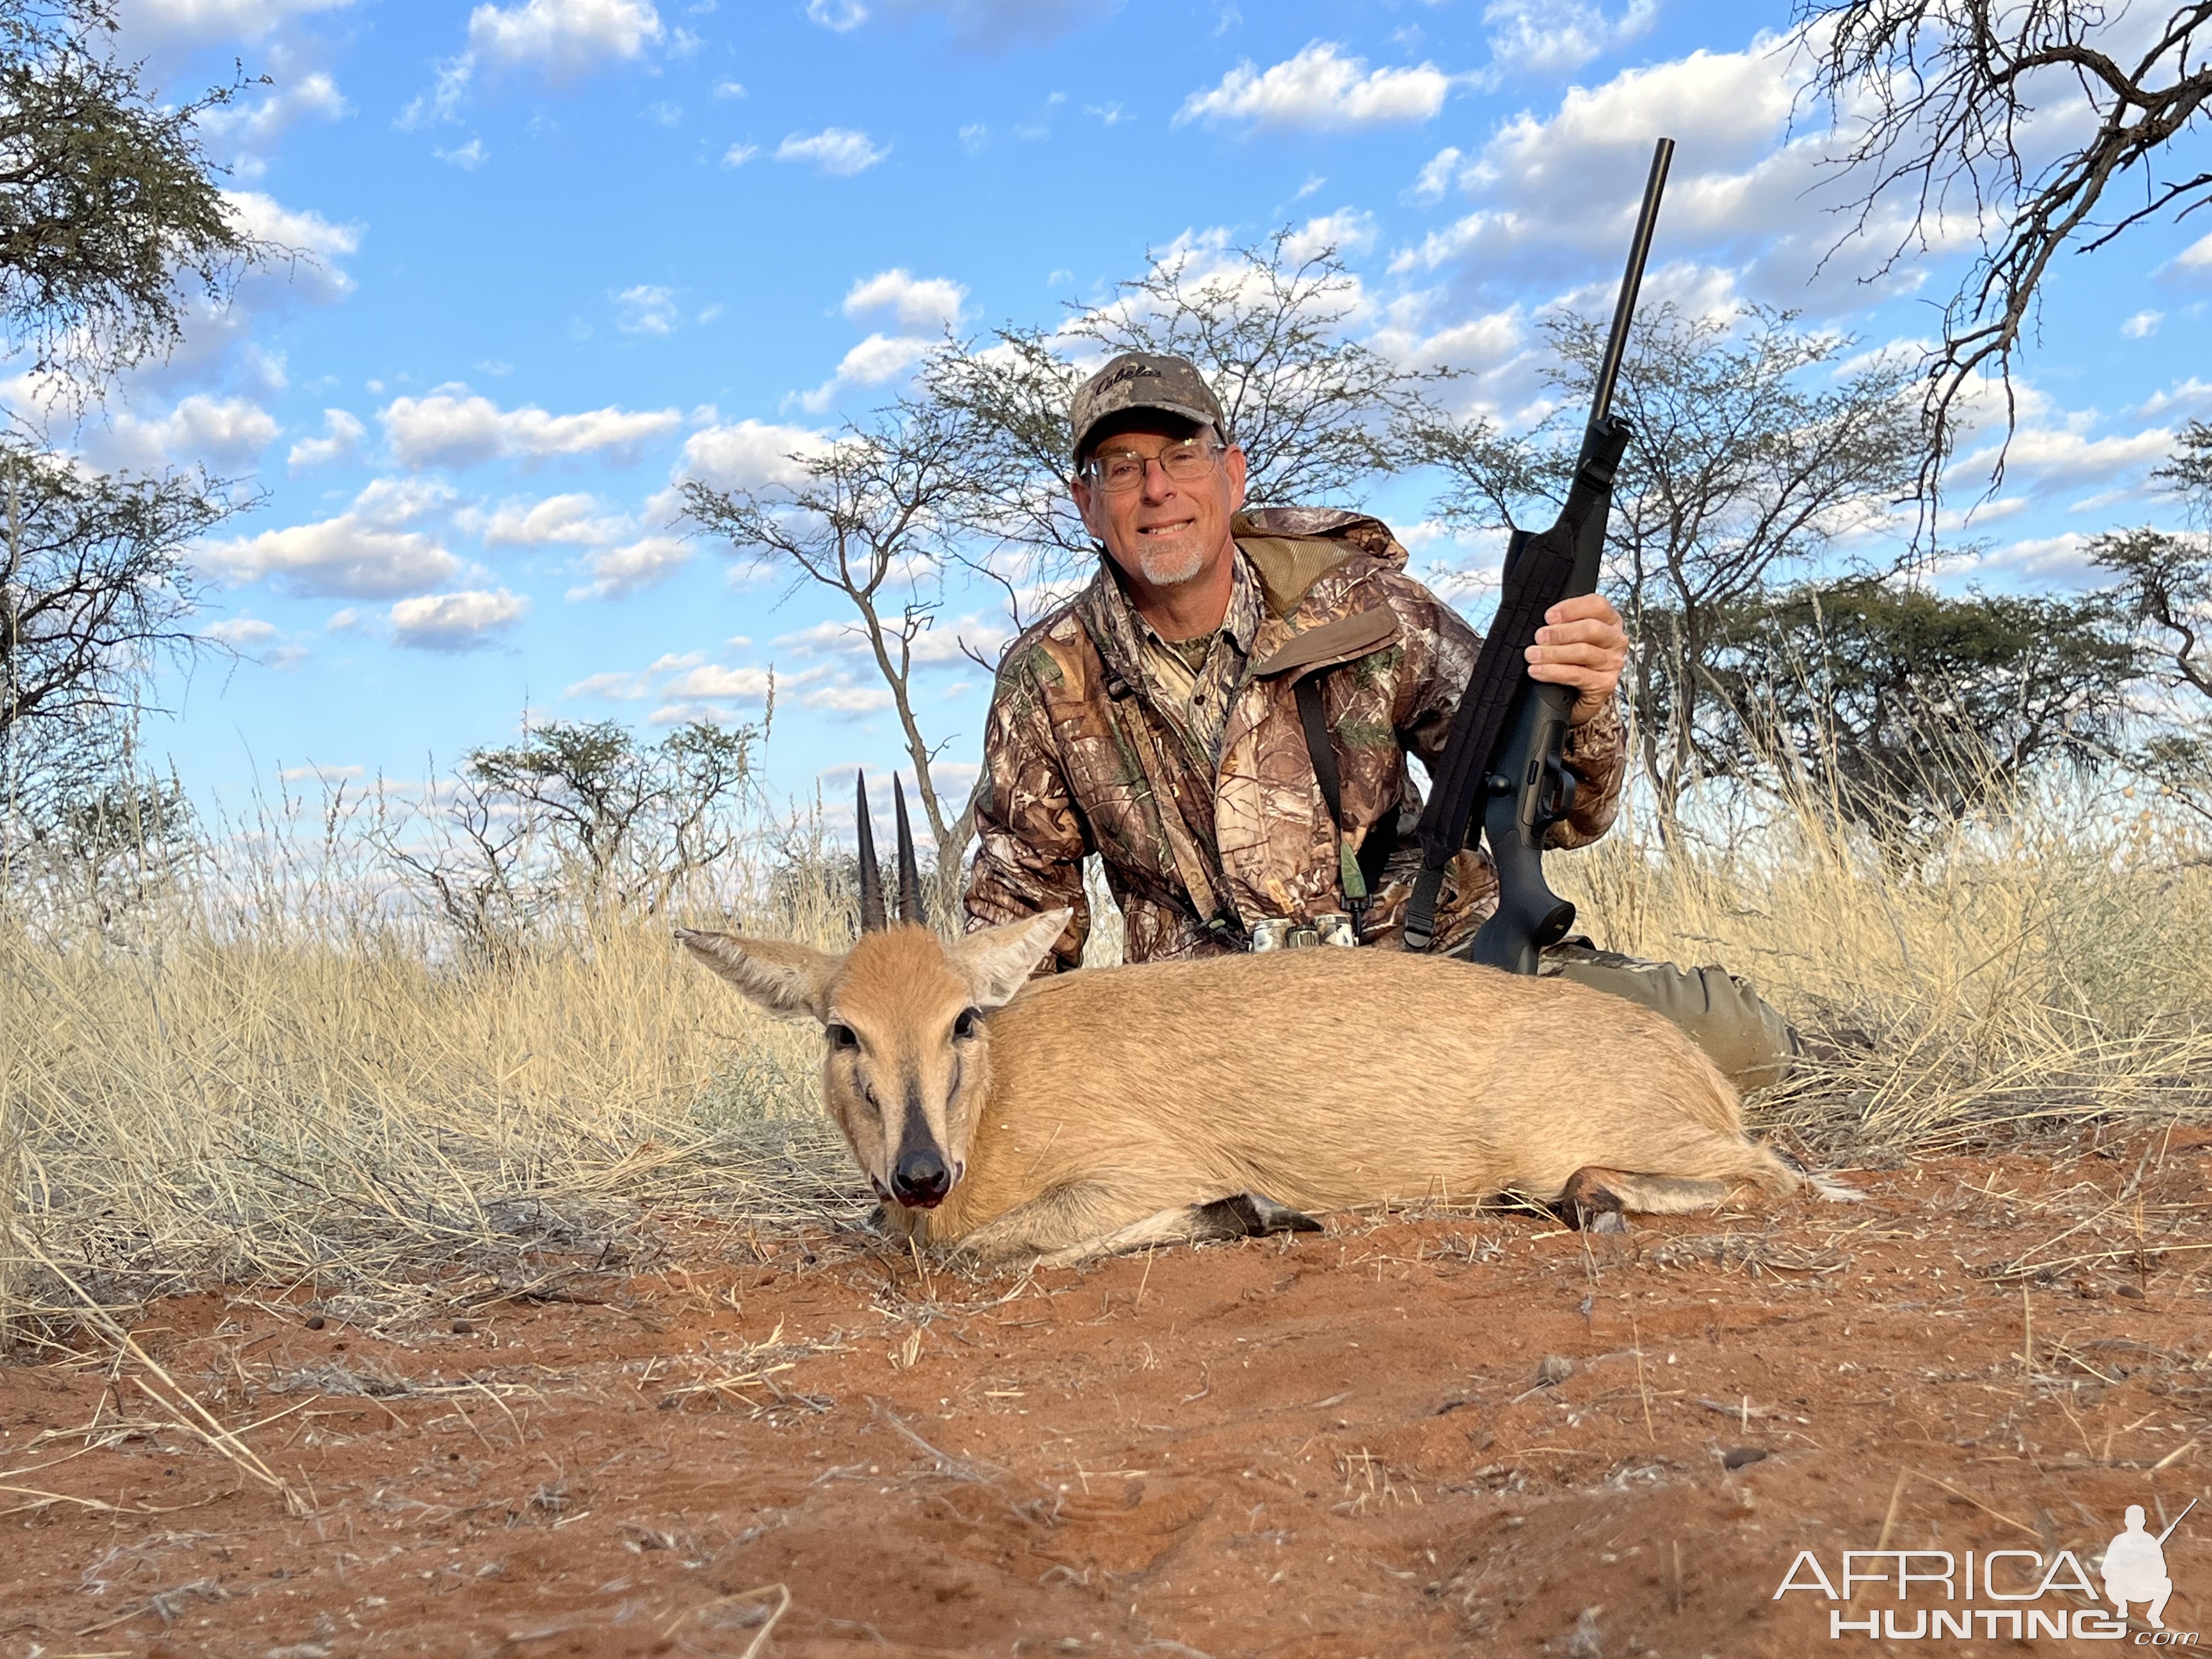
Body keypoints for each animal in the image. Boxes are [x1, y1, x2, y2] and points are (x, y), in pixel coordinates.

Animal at [676, 774, 1849, 1265]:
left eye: (963, 1018)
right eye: (842, 1030)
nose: (919, 1172)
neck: (998, 1099)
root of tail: (1688, 1063)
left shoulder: (1131, 1173)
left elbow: (984, 1247)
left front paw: (1254, 1209)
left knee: (1780, 1173)